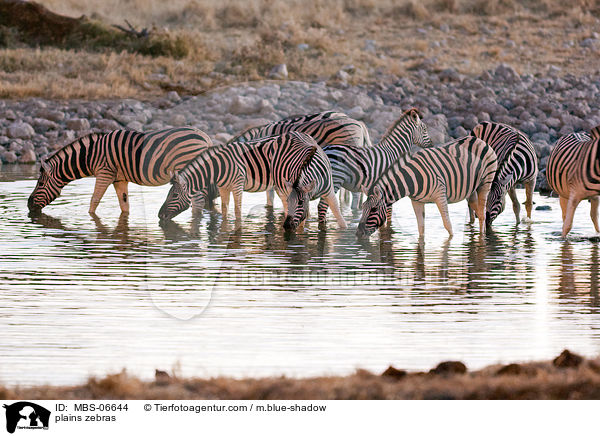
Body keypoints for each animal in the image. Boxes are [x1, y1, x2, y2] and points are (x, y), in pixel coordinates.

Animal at [29, 126, 216, 215]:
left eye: (40, 183)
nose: (28, 204)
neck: (91, 155)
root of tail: (205, 137)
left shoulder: (104, 173)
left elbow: (94, 200)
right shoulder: (119, 179)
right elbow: (124, 204)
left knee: (198, 201)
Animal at [159, 131, 344, 230]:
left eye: (174, 196)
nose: (160, 215)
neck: (218, 168)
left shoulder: (237, 184)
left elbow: (237, 210)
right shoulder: (223, 187)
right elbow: (225, 210)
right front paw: (225, 228)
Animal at [356, 136, 496, 238]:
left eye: (374, 209)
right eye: (363, 207)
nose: (358, 234)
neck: (411, 179)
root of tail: (478, 139)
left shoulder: (440, 196)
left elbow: (448, 225)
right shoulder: (416, 201)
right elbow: (421, 228)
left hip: (485, 182)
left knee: (482, 214)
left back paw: (482, 238)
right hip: (471, 190)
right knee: (477, 210)